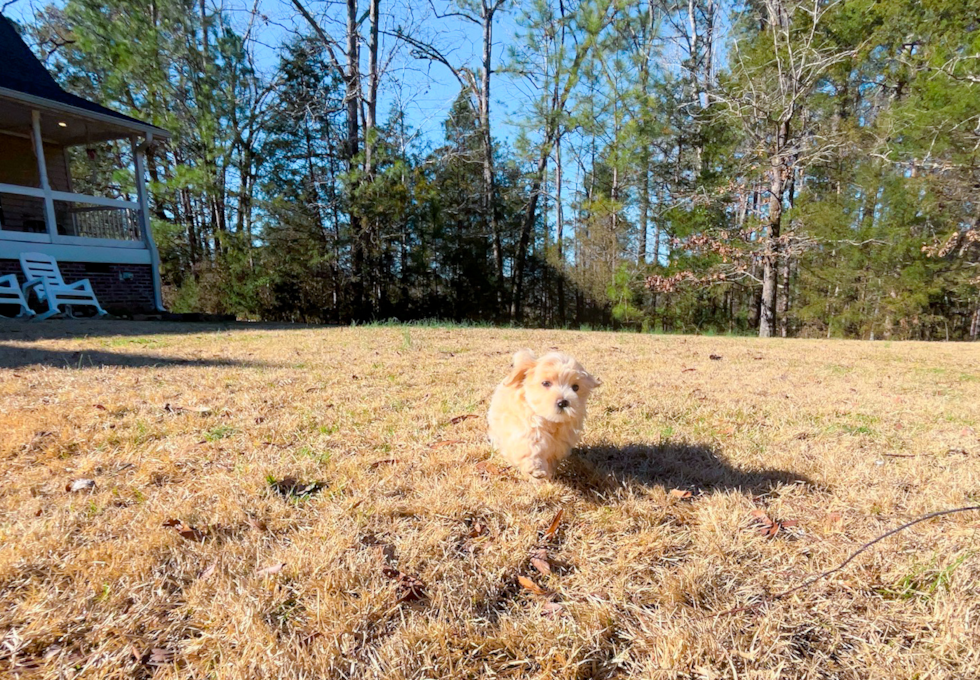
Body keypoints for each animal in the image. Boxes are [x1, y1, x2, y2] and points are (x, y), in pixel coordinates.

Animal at [488, 348, 600, 480]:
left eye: (575, 387)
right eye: (546, 383)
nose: (563, 402)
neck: (550, 421)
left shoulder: (560, 443)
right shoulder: (522, 429)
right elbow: (530, 448)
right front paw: (536, 470)